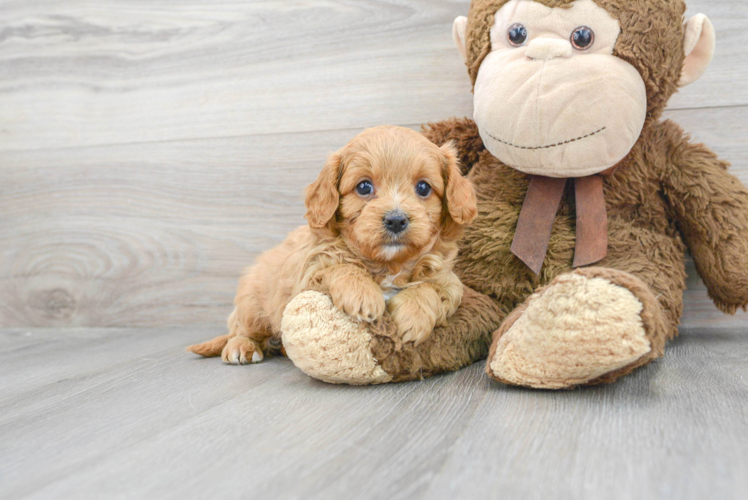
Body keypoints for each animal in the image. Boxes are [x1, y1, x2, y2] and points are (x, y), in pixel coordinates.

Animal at [190, 127, 476, 366]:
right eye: (364, 186)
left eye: (423, 188)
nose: (396, 220)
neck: (387, 265)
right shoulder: (307, 275)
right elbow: (340, 267)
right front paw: (363, 295)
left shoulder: (448, 279)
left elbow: (432, 288)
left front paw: (413, 315)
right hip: (252, 304)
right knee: (240, 329)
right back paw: (241, 347)